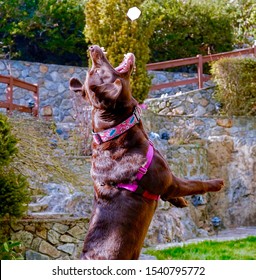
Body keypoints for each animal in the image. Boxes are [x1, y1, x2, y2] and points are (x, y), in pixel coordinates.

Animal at [69, 44, 223, 260]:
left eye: (94, 70)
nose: (91, 47)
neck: (117, 131)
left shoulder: (167, 188)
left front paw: (180, 202)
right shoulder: (169, 181)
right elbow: (195, 183)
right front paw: (217, 183)